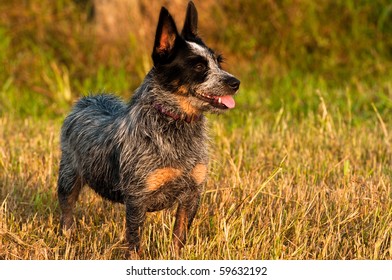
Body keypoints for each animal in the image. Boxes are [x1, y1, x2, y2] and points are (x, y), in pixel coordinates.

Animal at [57, 1, 240, 258]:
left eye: (219, 62)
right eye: (198, 66)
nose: (235, 82)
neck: (175, 123)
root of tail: (88, 99)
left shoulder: (192, 194)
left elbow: (179, 237)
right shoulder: (137, 199)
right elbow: (135, 242)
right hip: (68, 177)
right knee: (67, 212)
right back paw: (68, 238)